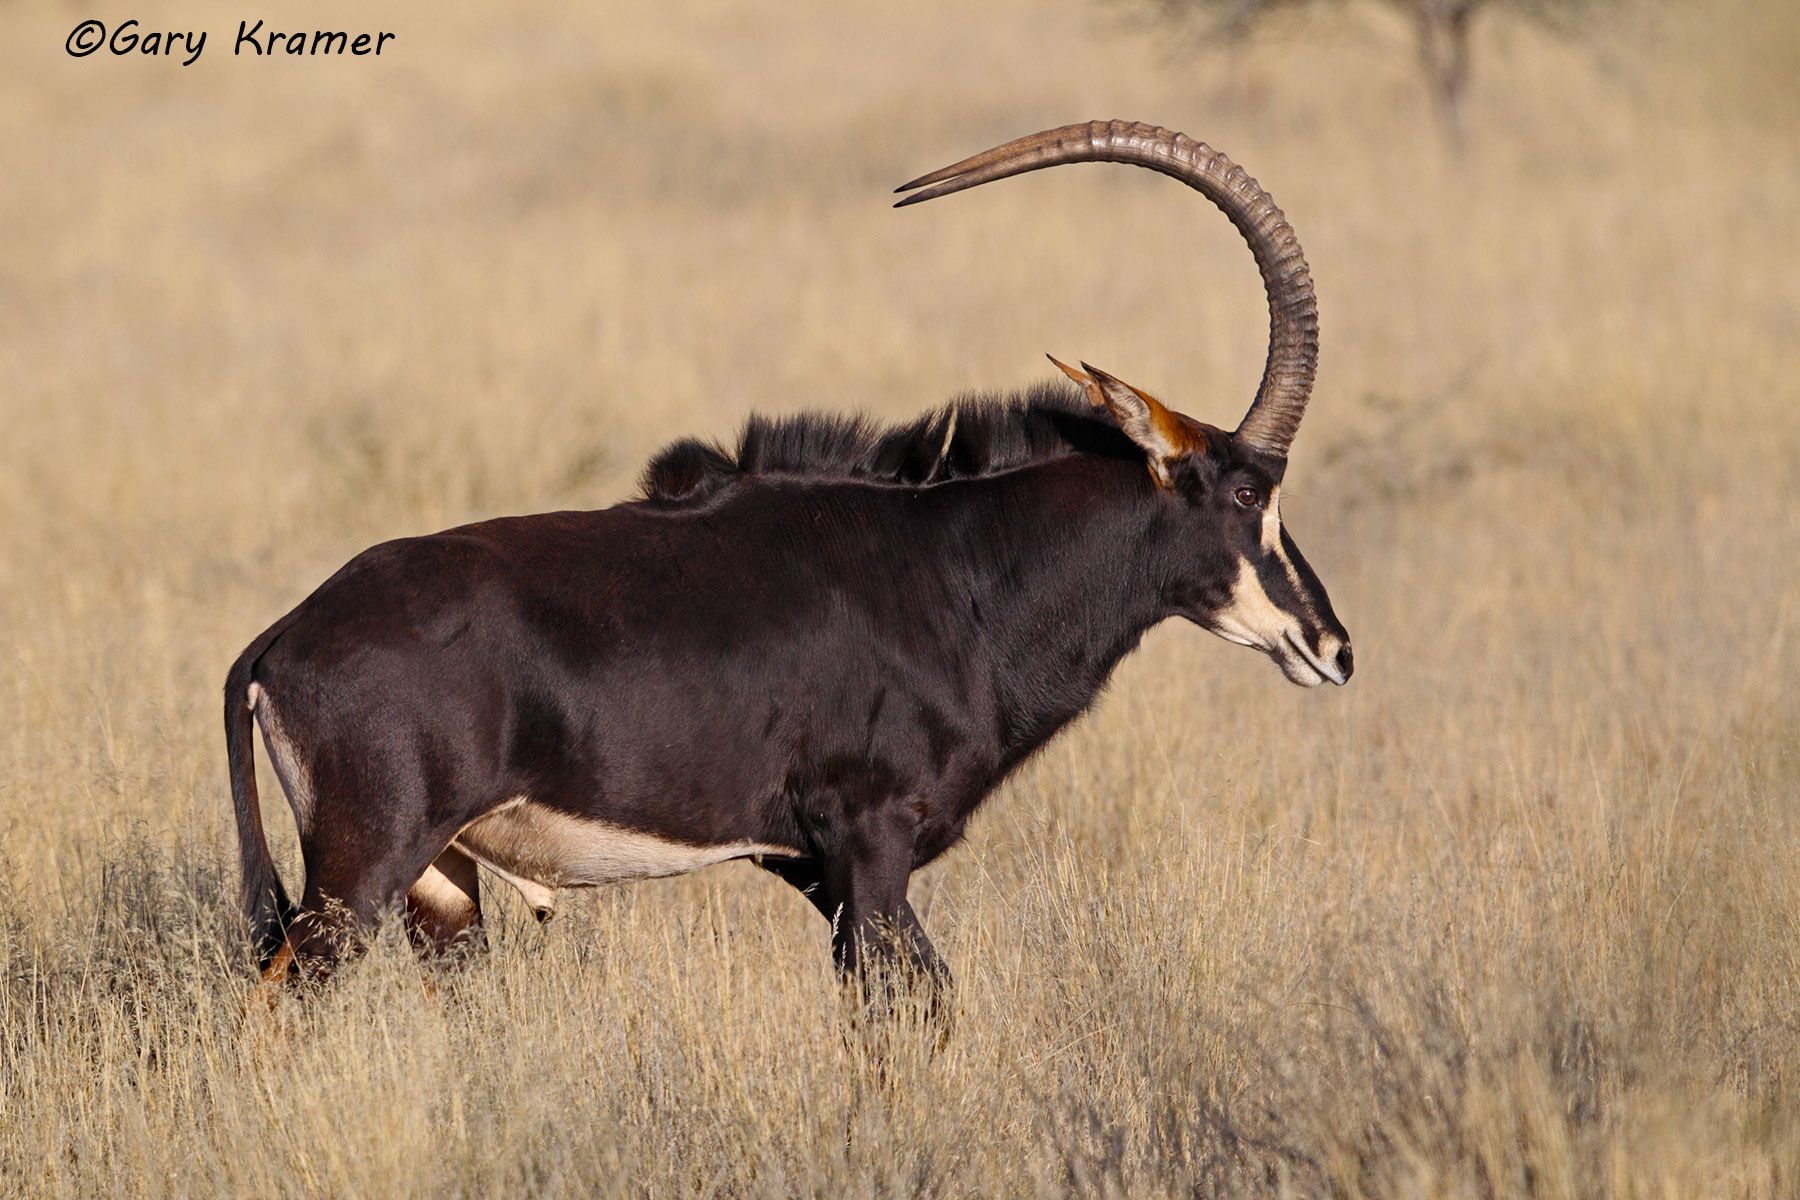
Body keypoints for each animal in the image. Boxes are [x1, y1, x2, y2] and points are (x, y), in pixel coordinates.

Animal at [228, 124, 1353, 1007]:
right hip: (362, 871)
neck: (961, 571)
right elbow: (901, 1015)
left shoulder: (810, 866)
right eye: (1248, 494)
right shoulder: (869, 842)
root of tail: (279, 642)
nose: (1332, 647)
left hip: (444, 888)